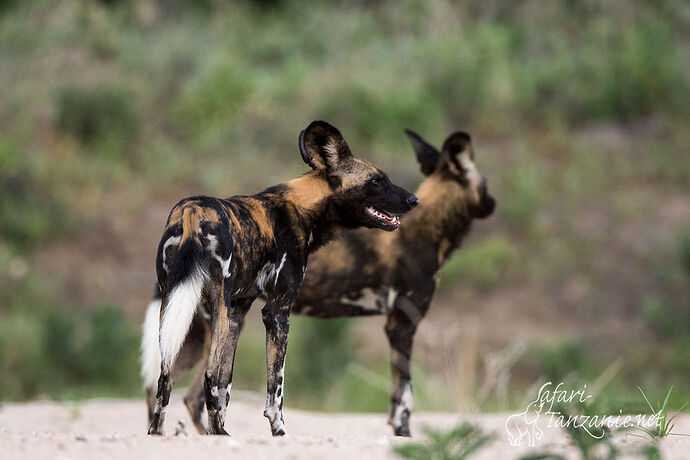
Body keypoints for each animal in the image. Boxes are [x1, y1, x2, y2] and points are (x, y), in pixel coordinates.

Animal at [153, 128, 492, 434]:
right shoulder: (284, 313)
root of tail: (190, 213)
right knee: (204, 380)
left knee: (166, 380)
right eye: (375, 180)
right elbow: (277, 391)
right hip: (213, 318)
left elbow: (226, 388)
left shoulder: (240, 309)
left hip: (185, 318)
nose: (413, 200)